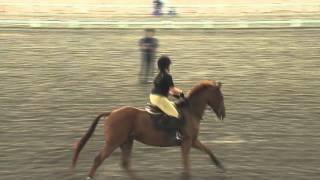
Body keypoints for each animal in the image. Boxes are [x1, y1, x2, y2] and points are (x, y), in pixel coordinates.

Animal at [72, 80, 228, 180]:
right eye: (220, 97)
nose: (223, 114)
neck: (190, 112)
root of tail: (111, 113)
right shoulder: (187, 142)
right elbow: (186, 162)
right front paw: (187, 176)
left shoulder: (193, 141)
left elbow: (208, 151)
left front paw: (221, 166)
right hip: (113, 143)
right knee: (99, 159)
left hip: (126, 142)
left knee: (125, 164)